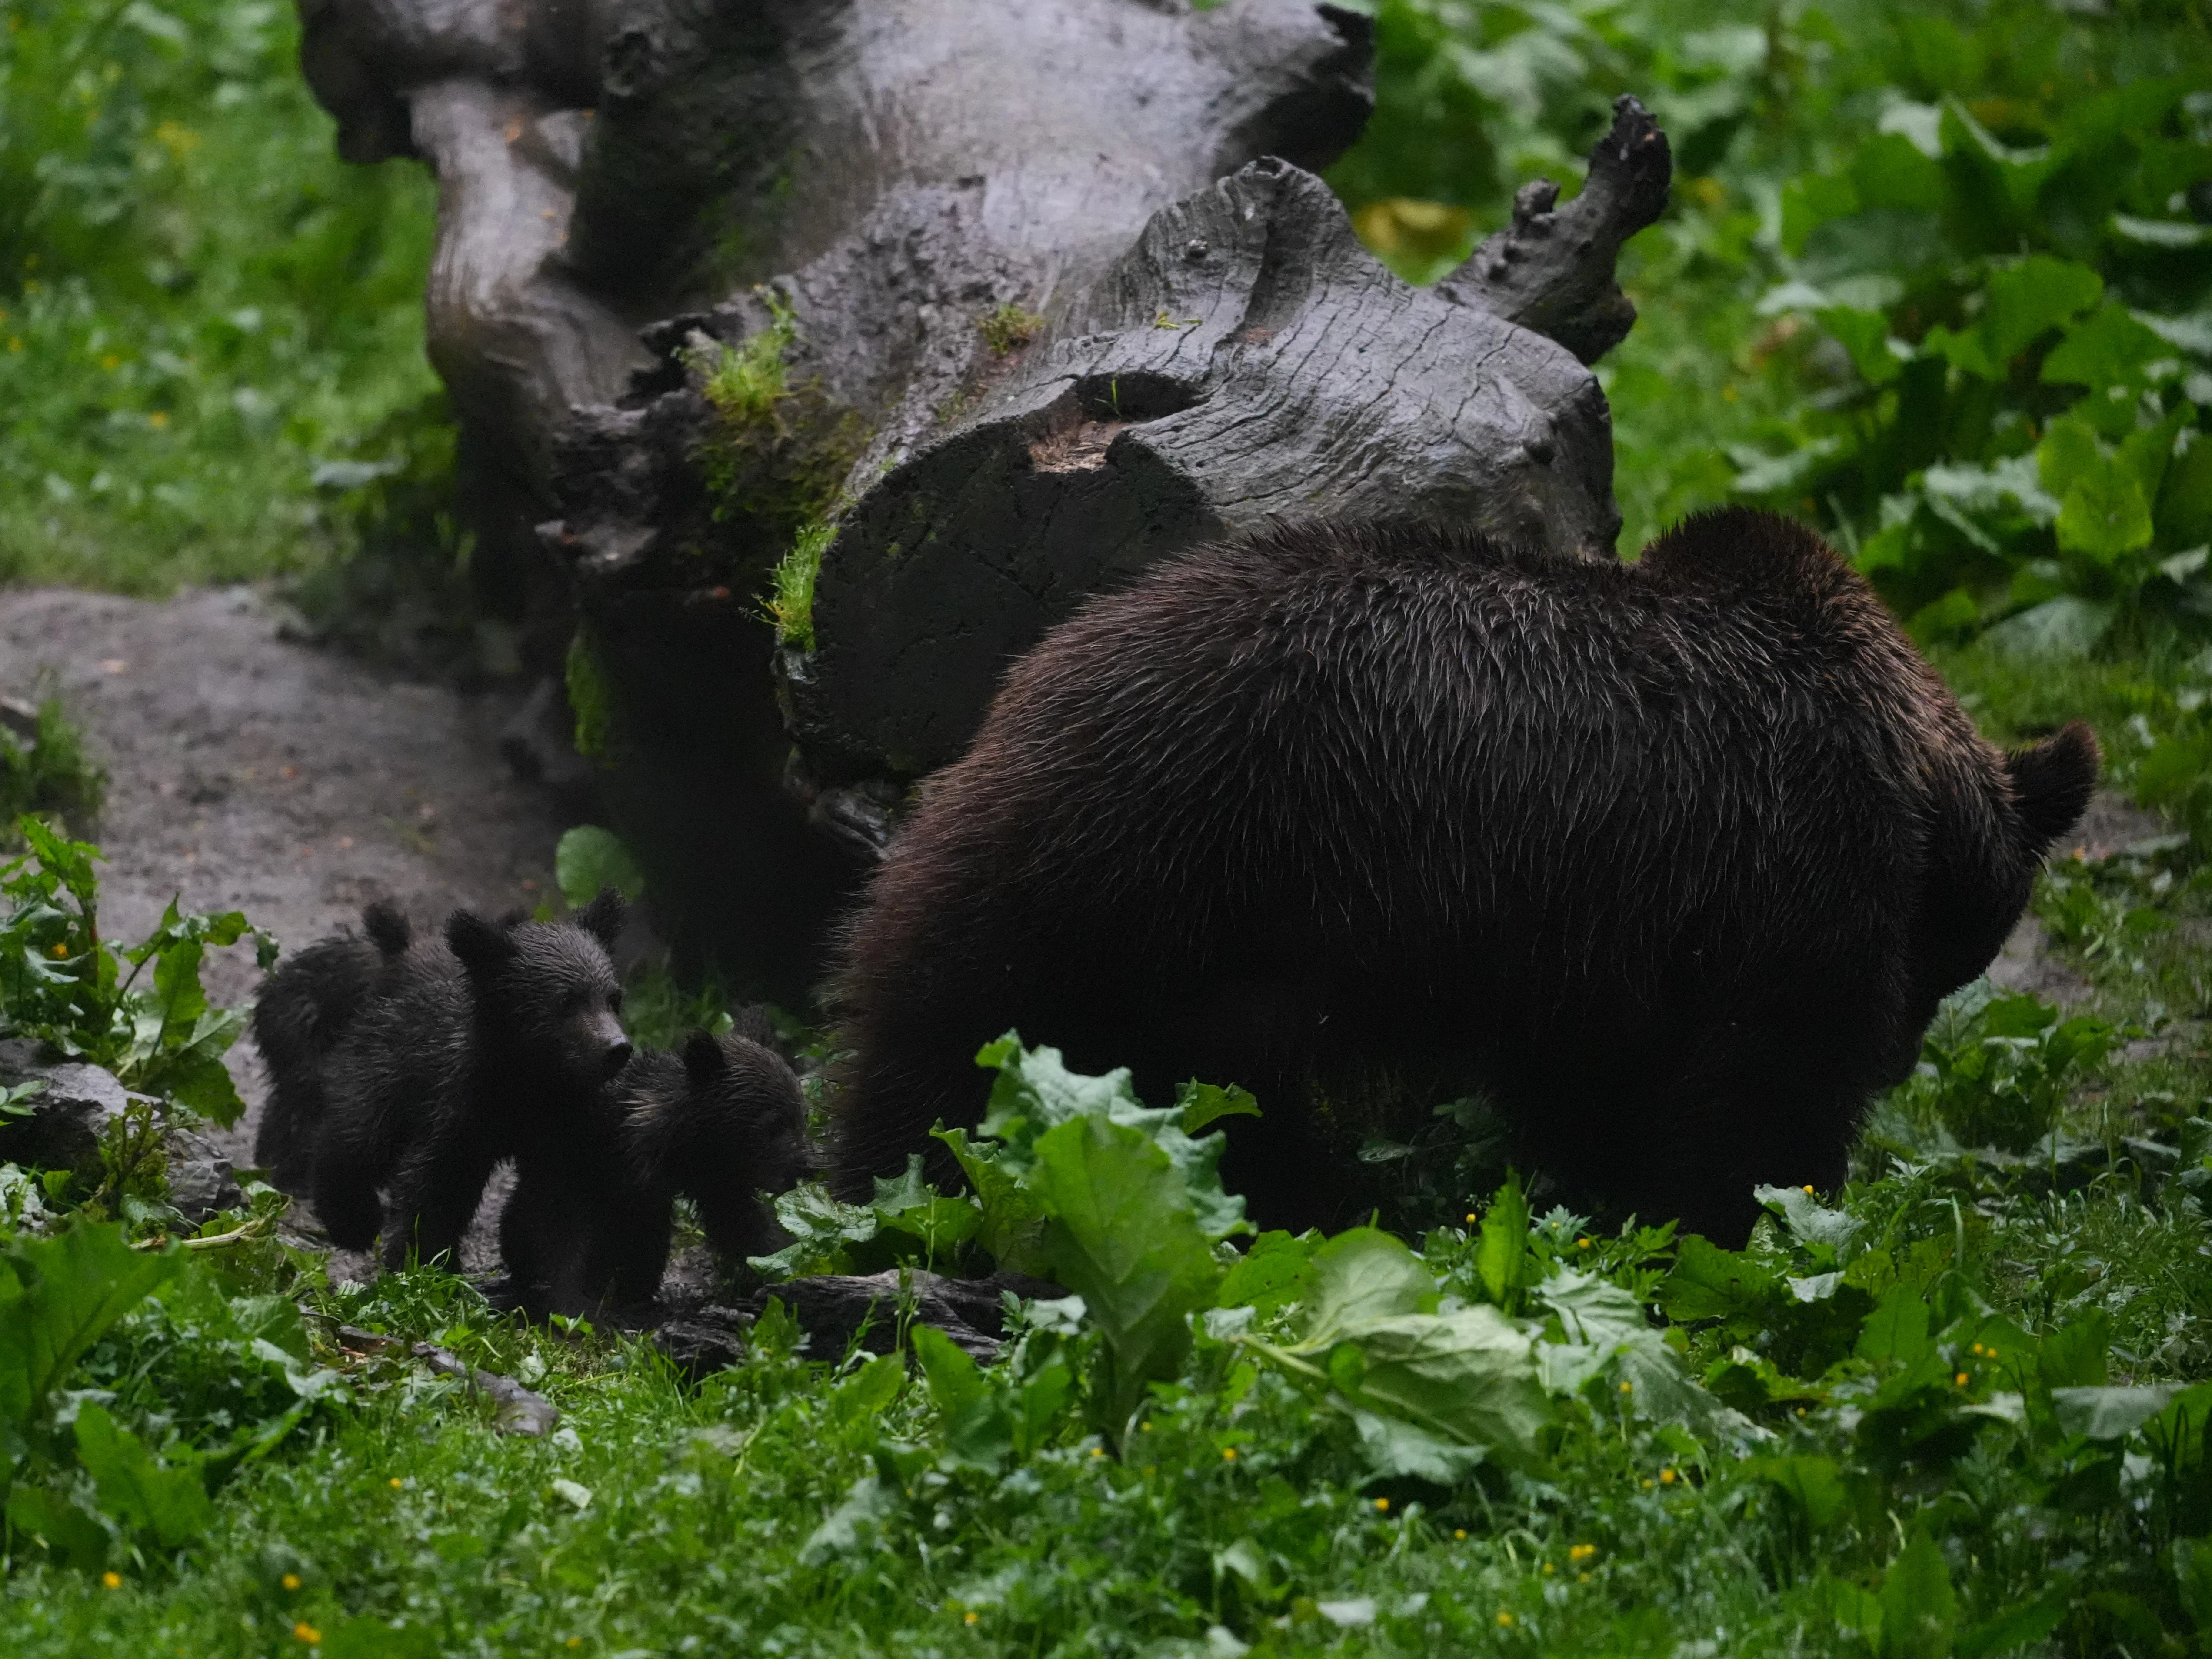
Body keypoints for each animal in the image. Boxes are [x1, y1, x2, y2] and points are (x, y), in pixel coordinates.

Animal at [310, 892, 633, 1270]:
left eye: (614, 997)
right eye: (567, 1000)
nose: (617, 1048)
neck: (529, 1082)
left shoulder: (560, 1126)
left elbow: (555, 1198)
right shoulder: (462, 1109)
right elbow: (436, 1187)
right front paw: (422, 1259)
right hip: (386, 1067)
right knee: (355, 1137)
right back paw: (352, 1222)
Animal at [494, 1021, 812, 1315]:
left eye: (802, 1114)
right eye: (774, 1123)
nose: (803, 1168)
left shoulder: (713, 1183)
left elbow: (746, 1227)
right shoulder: (585, 1169)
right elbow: (558, 1234)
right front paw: (572, 1302)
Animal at [826, 509, 2099, 1246]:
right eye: (1949, 959)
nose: (1901, 1059)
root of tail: (1029, 682)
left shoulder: (1593, 939)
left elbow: (1601, 1088)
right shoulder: (1778, 880)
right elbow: (1758, 1092)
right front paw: (1763, 1216)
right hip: (1153, 858)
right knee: (958, 1025)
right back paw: (900, 1192)